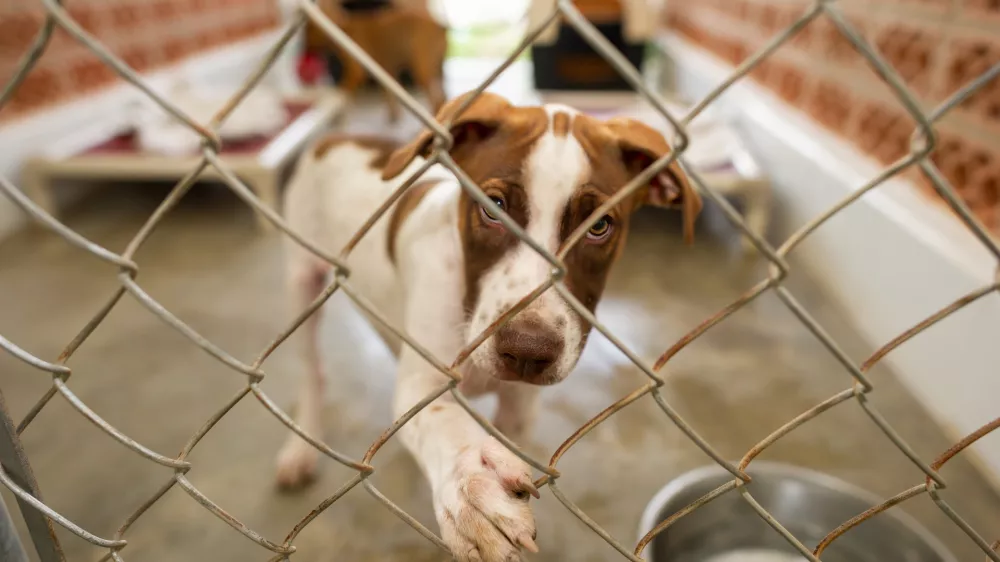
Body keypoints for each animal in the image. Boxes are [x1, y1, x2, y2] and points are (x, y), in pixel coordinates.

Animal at [272, 91, 696, 560]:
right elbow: (442, 421)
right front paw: (471, 485)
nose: (527, 351)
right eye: (493, 208)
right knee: (312, 372)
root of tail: (337, 137)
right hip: (301, 282)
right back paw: (299, 449)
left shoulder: (519, 407)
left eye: (600, 226)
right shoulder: (424, 384)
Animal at [304, 0, 446, 122]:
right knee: (441, 96)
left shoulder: (356, 71)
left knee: (437, 99)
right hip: (436, 70)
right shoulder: (387, 69)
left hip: (422, 69)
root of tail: (441, 26)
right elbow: (388, 95)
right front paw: (393, 115)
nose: (305, 46)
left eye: (309, 30)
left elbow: (345, 88)